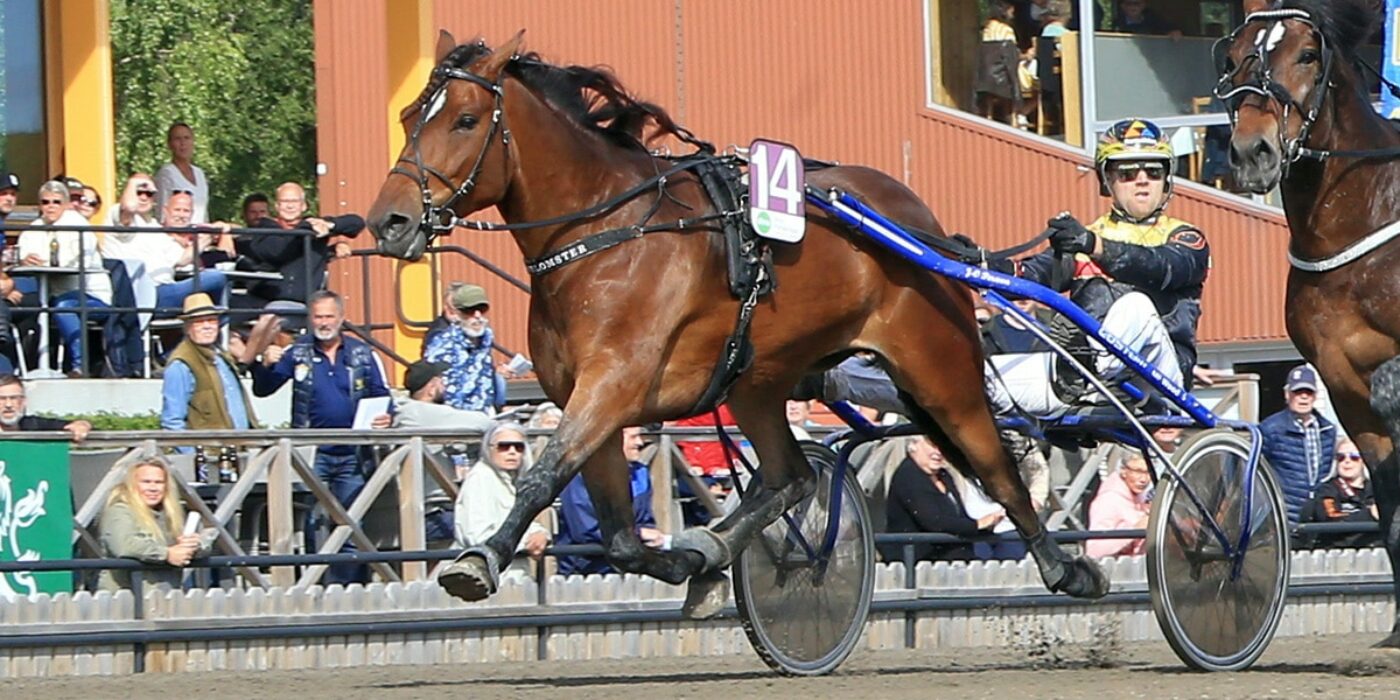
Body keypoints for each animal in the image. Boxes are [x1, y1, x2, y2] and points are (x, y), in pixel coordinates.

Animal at [366, 31, 1108, 614]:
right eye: (408, 114)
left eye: (465, 120)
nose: (388, 221)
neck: (608, 234)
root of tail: (920, 223)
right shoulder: (586, 395)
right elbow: (619, 536)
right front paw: (688, 559)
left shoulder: (613, 383)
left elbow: (543, 474)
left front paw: (478, 559)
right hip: (758, 380)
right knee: (791, 476)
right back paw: (717, 542)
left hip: (938, 364)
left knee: (994, 462)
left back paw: (1067, 567)